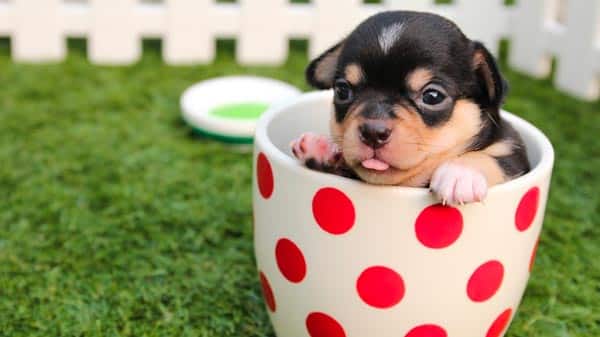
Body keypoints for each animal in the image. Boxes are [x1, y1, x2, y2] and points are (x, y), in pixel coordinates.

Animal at [290, 10, 528, 203]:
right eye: (342, 90)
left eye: (432, 96)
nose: (373, 132)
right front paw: (320, 147)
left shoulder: (514, 155)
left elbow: (494, 158)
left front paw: (460, 173)